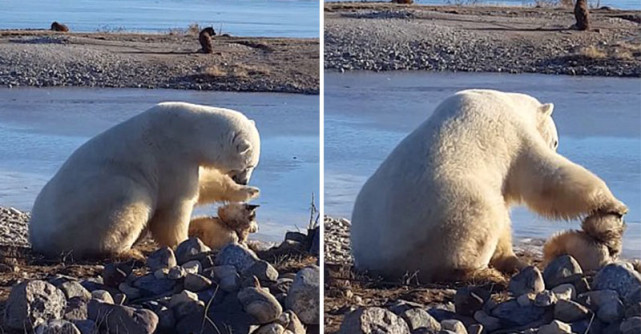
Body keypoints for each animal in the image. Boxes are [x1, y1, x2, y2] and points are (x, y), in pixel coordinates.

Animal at [29, 102, 260, 258]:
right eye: (248, 165)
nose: (244, 180)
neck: (190, 129)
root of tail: (37, 237)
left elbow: (205, 183)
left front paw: (250, 191)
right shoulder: (171, 155)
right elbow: (176, 203)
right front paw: (184, 242)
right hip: (94, 205)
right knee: (131, 202)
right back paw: (125, 250)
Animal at [350, 88, 624, 282]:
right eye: (555, 141)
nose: (555, 145)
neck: (509, 102)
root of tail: (376, 261)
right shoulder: (513, 135)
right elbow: (545, 176)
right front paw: (614, 205)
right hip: (446, 215)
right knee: (483, 218)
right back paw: (483, 273)